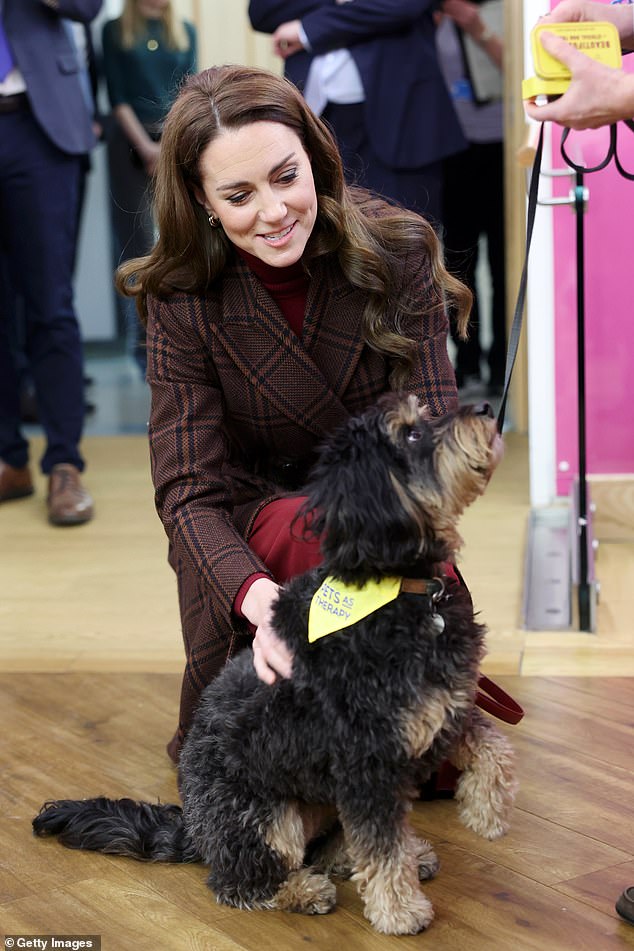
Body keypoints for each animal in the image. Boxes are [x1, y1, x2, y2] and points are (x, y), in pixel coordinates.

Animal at [33, 392, 512, 936]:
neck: (395, 589)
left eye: (428, 413)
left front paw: (487, 810)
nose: (484, 407)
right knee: (242, 880)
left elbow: (494, 747)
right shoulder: (366, 760)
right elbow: (381, 846)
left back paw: (401, 856)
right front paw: (400, 911)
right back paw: (302, 891)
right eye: (410, 434)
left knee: (329, 848)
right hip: (260, 816)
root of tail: (195, 828)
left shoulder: (442, 711)